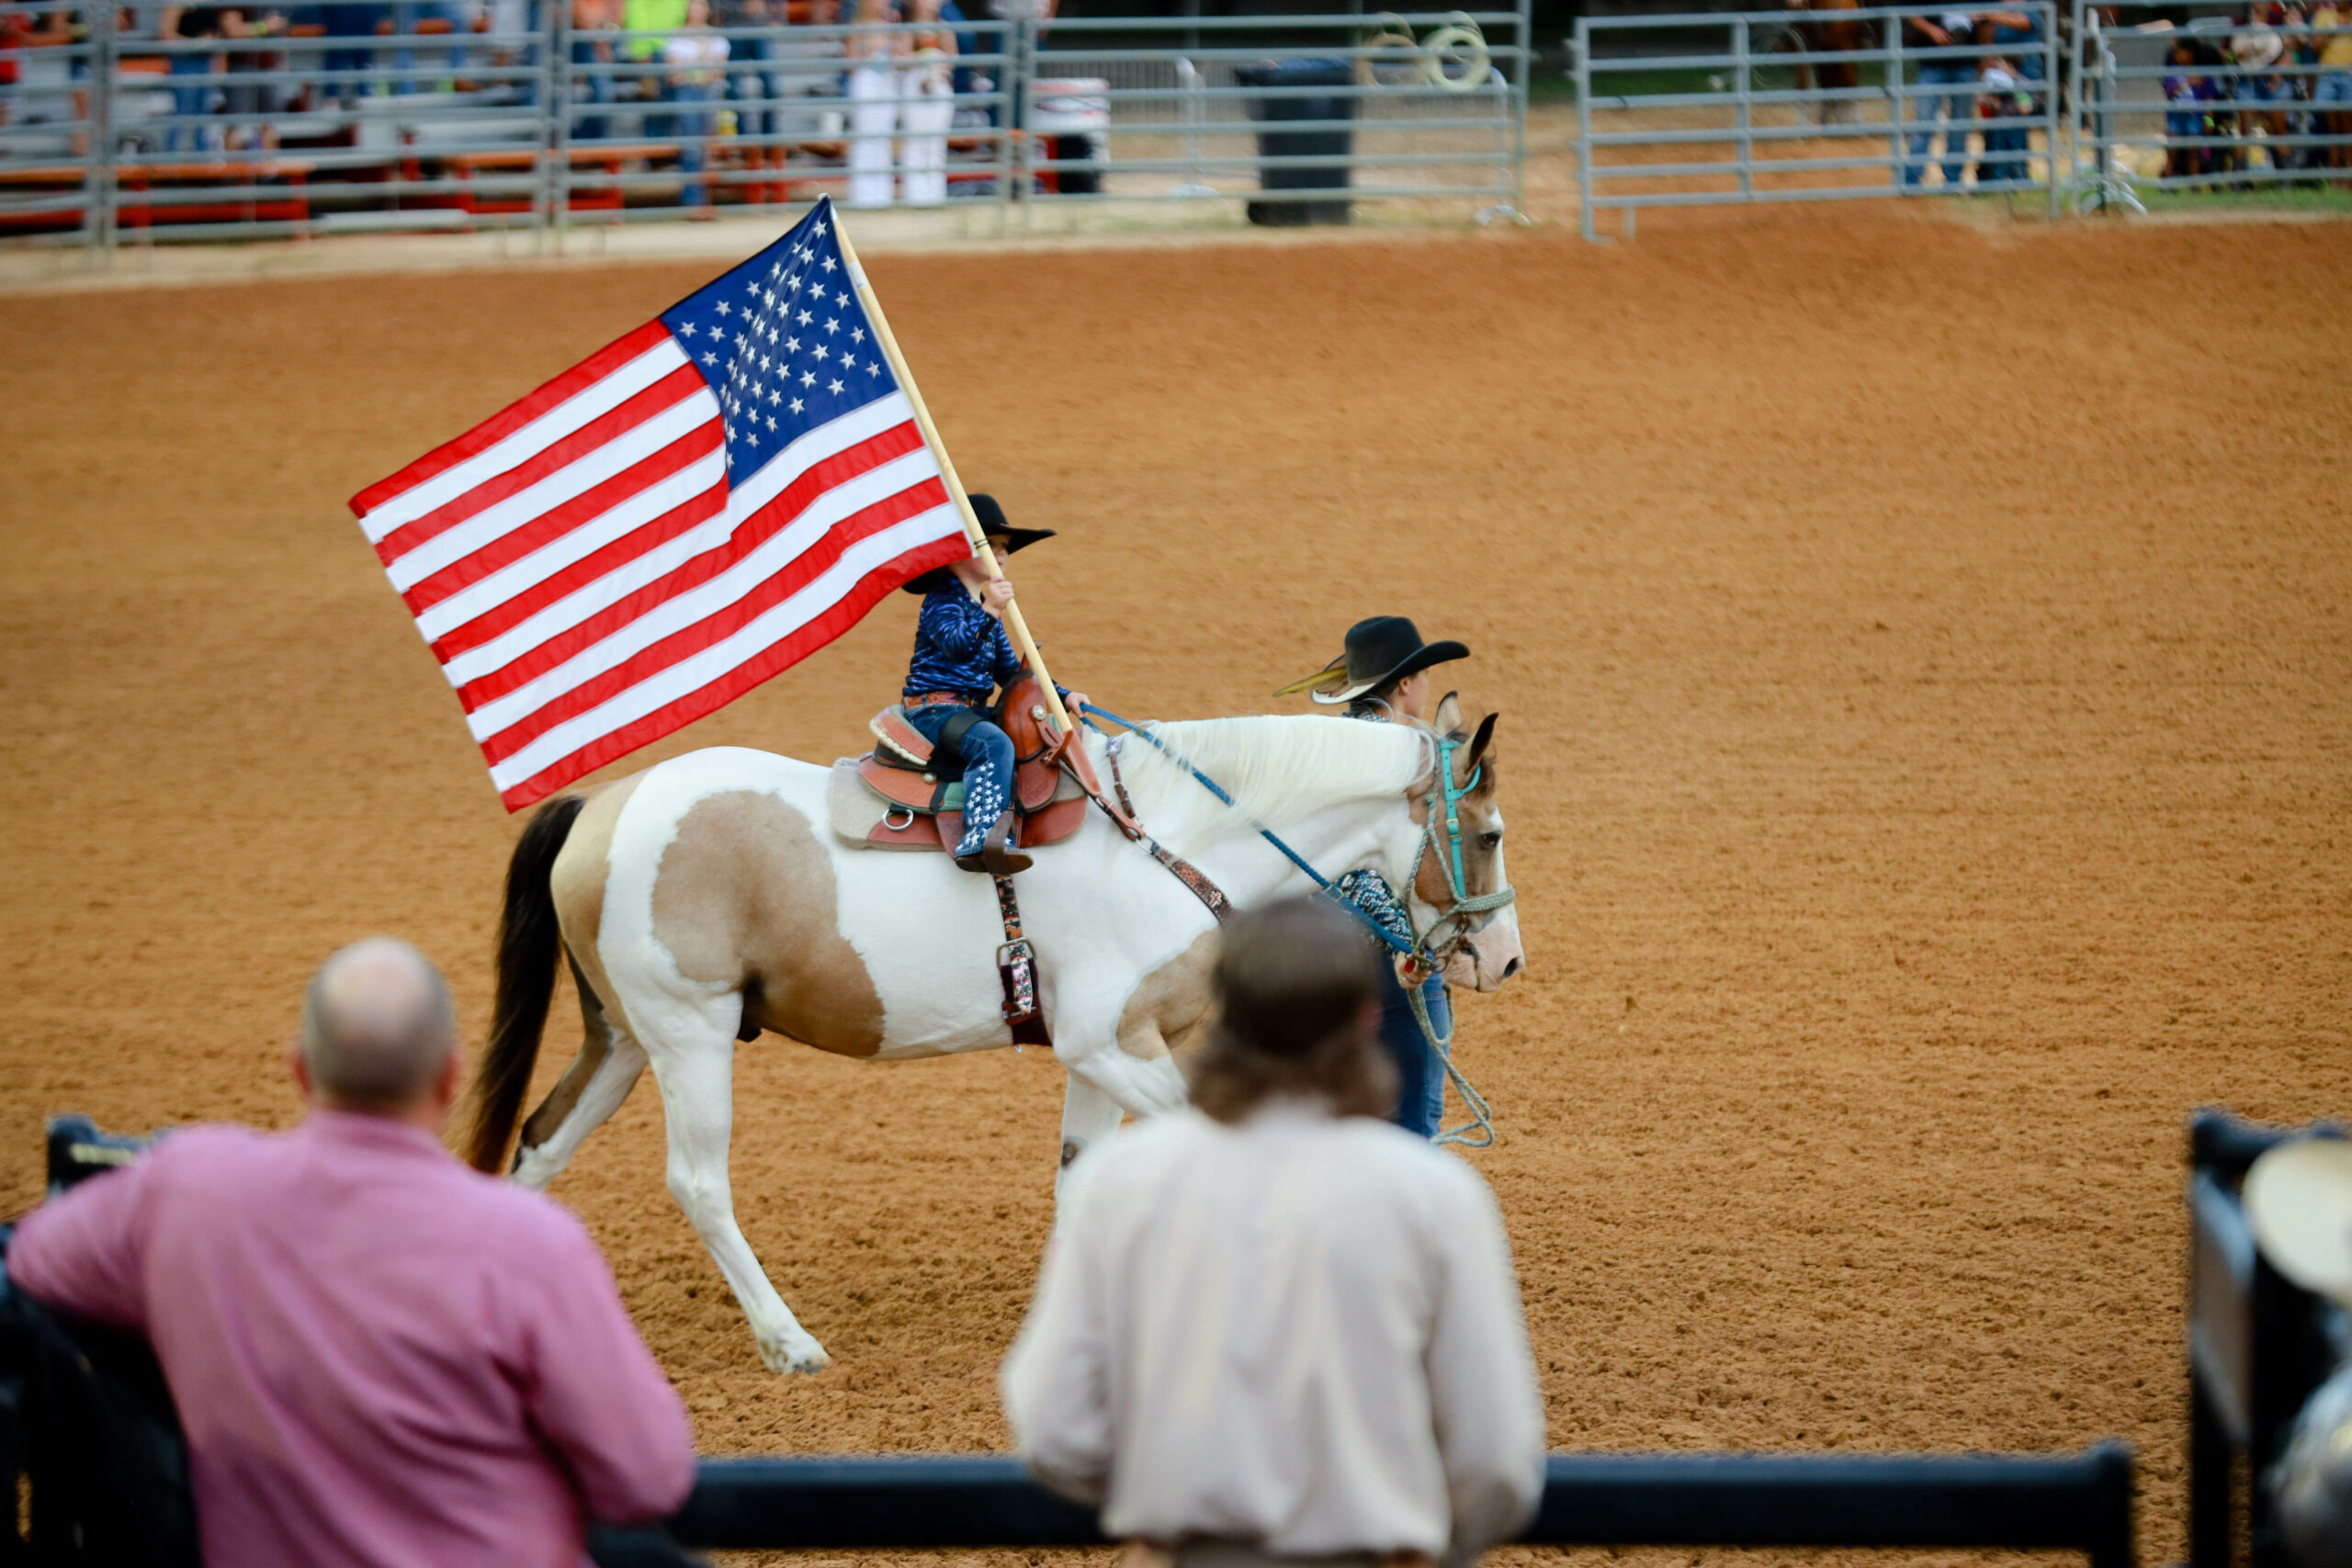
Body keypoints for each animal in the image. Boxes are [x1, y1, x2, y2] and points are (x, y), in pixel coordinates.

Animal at [463, 700, 1523, 1372]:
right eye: (1491, 832)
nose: (1503, 960)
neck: (1169, 845)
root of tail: (602, 805)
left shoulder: (1102, 1055)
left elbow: (1078, 1178)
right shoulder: (1113, 1045)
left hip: (621, 1041)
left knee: (540, 1147)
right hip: (690, 1037)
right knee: (696, 1182)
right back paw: (789, 1343)